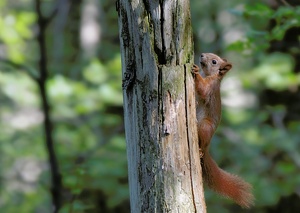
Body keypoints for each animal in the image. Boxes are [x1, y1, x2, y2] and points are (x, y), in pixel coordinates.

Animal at [192, 52, 253, 208]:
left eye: (214, 61)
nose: (201, 55)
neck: (208, 74)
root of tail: (207, 148)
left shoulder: (211, 87)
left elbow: (203, 89)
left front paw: (195, 71)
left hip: (205, 126)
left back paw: (200, 149)